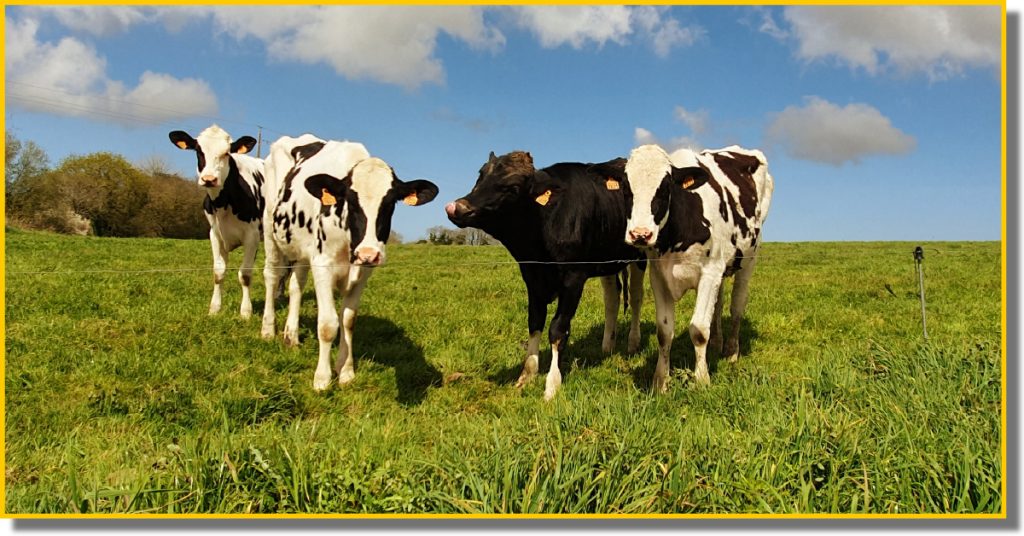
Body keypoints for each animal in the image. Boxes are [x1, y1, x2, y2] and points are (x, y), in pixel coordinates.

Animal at [168, 125, 263, 319]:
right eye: (198, 150)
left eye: (227, 153)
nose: (209, 179)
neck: (223, 203)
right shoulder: (215, 234)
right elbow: (218, 272)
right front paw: (214, 308)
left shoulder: (252, 236)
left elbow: (245, 274)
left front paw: (246, 311)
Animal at [260, 134, 439, 390]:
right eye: (351, 202)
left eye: (390, 203)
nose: (368, 253)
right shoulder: (323, 264)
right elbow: (328, 324)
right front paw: (322, 379)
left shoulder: (363, 271)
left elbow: (348, 320)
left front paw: (345, 371)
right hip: (268, 229)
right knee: (271, 277)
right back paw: (267, 329)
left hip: (304, 250)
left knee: (296, 286)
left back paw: (291, 335)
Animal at [445, 151, 645, 401]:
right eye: (480, 175)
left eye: (513, 188)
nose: (457, 208)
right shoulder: (532, 276)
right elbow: (534, 322)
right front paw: (526, 375)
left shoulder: (573, 278)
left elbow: (557, 329)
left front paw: (552, 384)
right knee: (612, 298)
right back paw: (607, 346)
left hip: (641, 255)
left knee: (636, 298)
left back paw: (633, 343)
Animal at [594, 144, 773, 392]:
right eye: (627, 189)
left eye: (665, 188)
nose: (640, 234)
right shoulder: (659, 277)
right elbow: (664, 331)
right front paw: (661, 381)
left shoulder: (709, 273)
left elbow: (699, 330)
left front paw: (702, 379)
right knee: (718, 304)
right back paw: (717, 342)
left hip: (749, 257)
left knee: (737, 305)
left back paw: (731, 351)